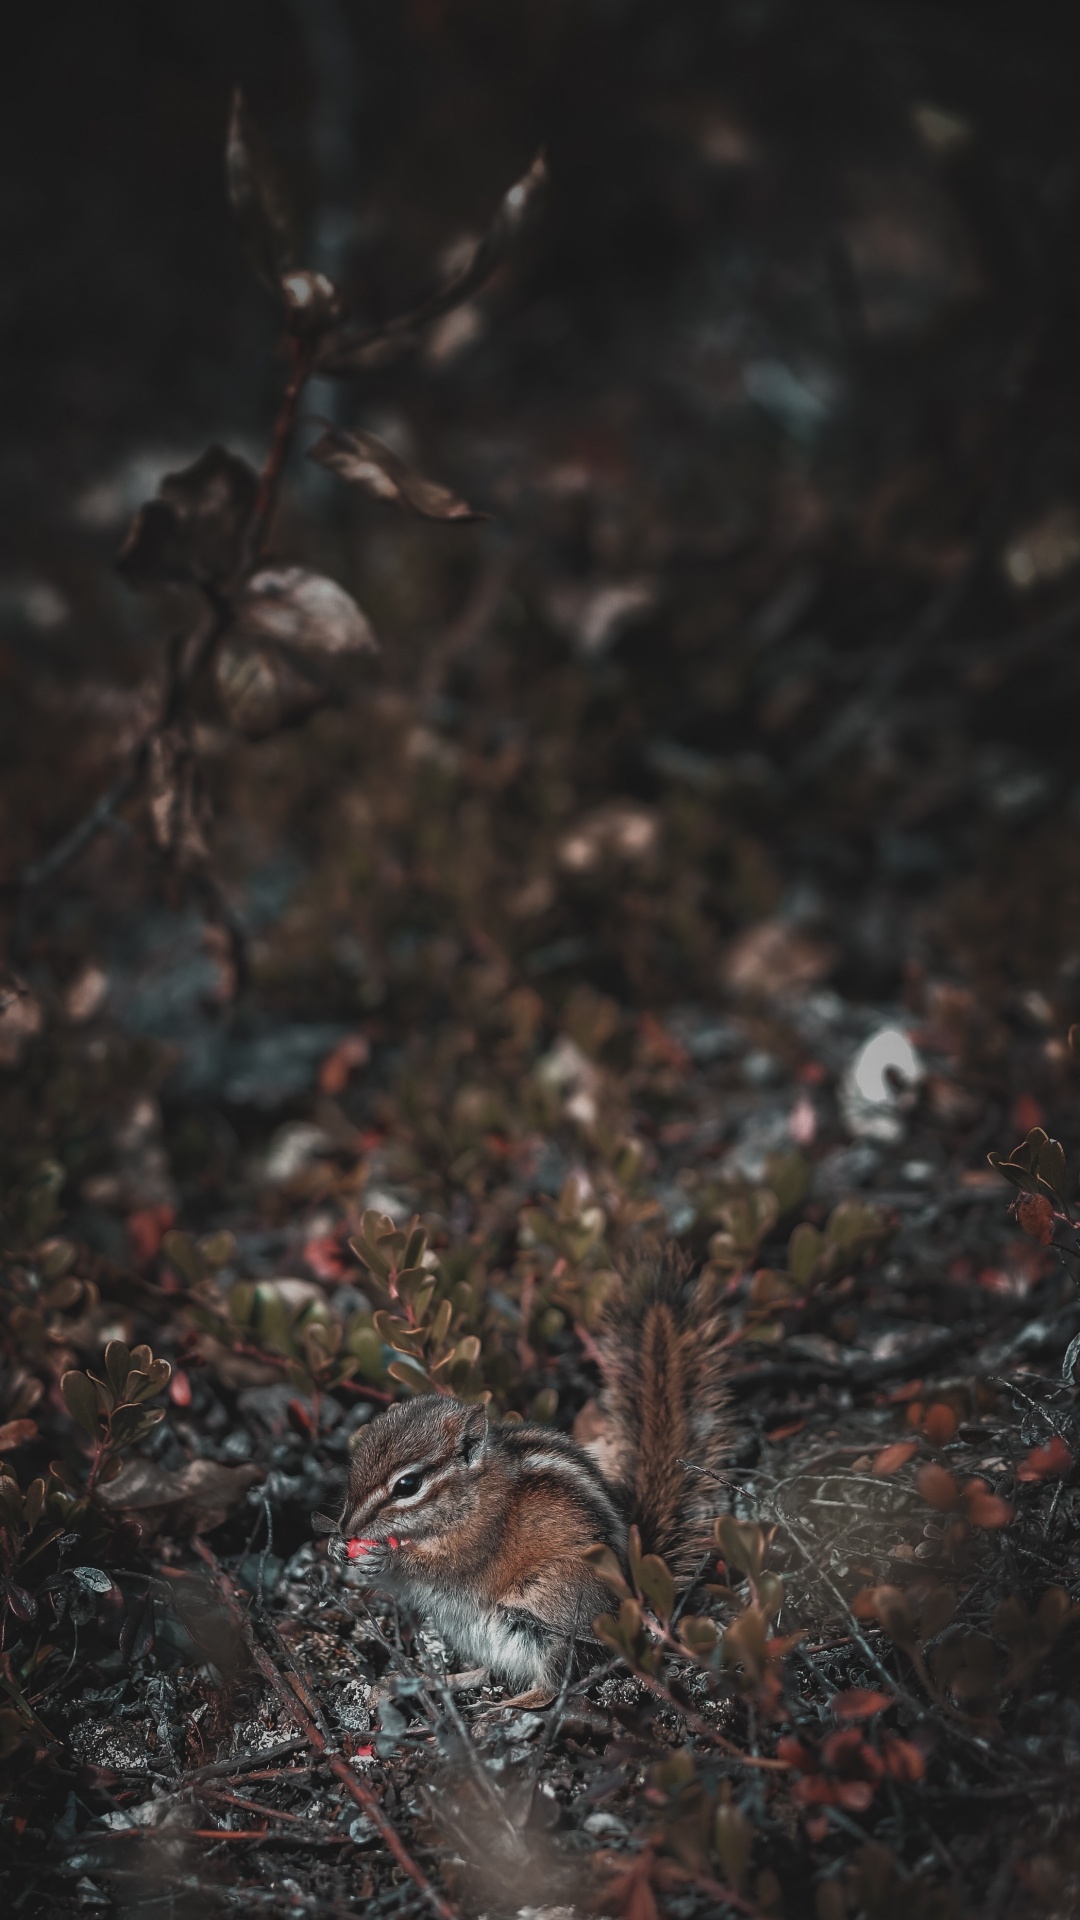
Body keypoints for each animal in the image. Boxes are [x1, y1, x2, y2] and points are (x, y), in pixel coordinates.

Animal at [328, 1248, 729, 1696]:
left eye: (408, 1485)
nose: (347, 1528)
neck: (473, 1491)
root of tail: (632, 1595)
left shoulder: (478, 1537)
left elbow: (444, 1566)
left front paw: (385, 1557)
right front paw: (336, 1548)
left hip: (544, 1614)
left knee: (555, 1682)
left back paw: (507, 1704)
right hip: (474, 1633)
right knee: (490, 1671)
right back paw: (443, 1680)